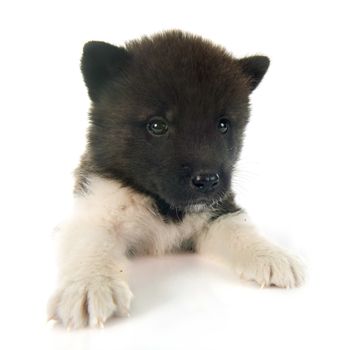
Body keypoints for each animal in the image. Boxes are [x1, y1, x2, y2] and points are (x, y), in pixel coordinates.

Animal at [47, 31, 304, 330]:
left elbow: (238, 228)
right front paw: (88, 284)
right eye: (157, 125)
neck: (161, 202)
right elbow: (90, 244)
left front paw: (273, 254)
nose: (207, 180)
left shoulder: (217, 209)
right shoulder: (94, 209)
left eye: (223, 124)